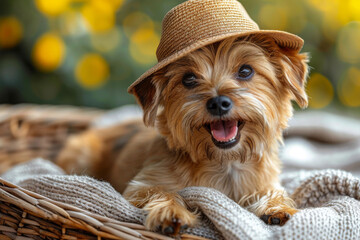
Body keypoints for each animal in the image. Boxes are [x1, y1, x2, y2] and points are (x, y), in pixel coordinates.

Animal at [57, 0, 310, 236]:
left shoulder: (266, 182)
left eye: (246, 71)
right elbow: (160, 191)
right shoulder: (140, 185)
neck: (224, 163)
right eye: (188, 79)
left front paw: (279, 209)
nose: (218, 102)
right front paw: (170, 212)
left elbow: (273, 192)